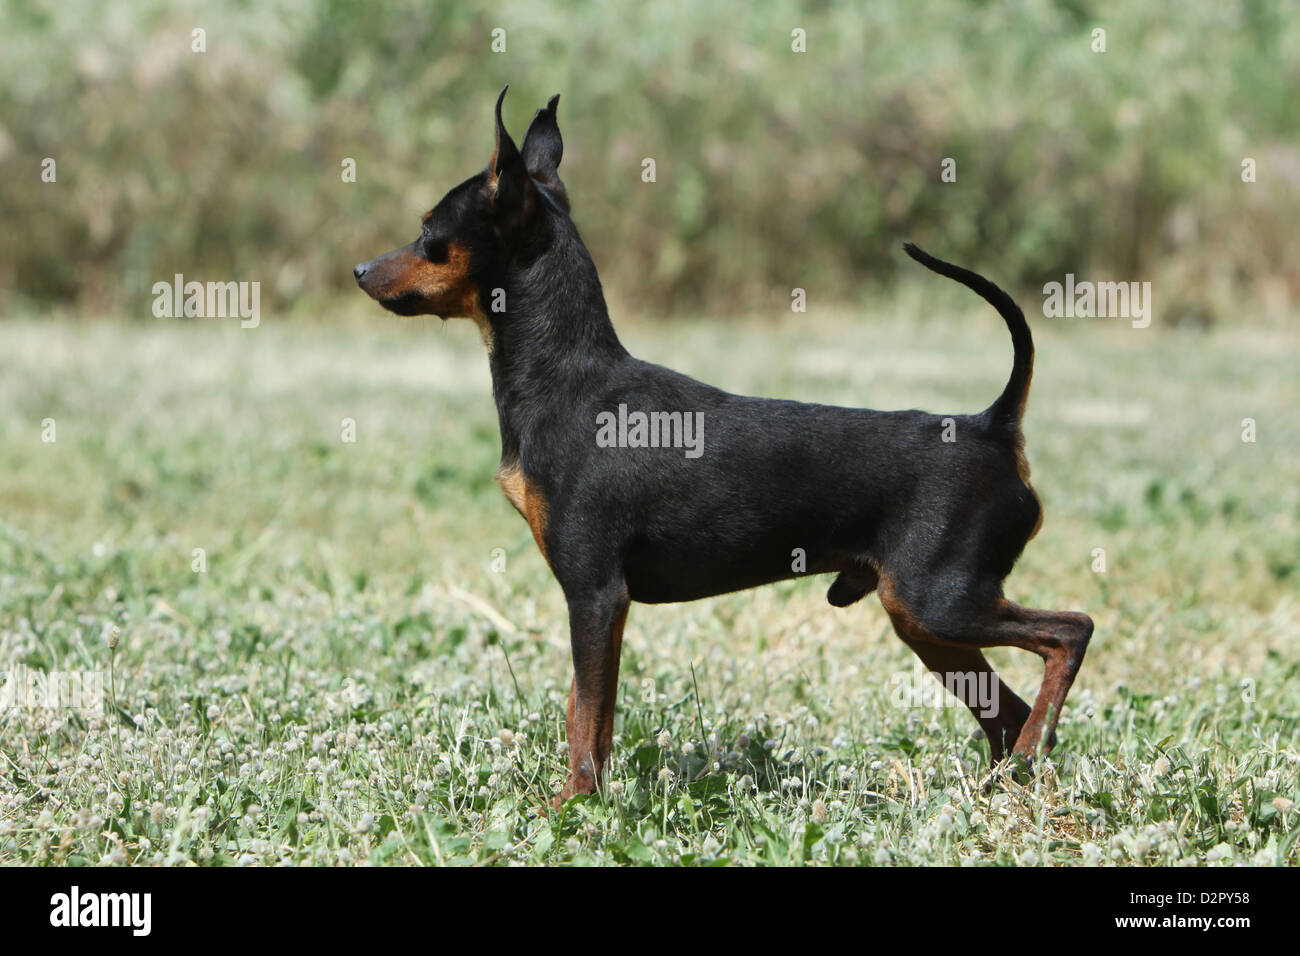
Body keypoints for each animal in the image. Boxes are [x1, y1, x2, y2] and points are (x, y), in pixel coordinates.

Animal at [353, 89, 1086, 806]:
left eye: (429, 231)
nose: (359, 269)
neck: (568, 379)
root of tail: (991, 425)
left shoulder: (595, 593)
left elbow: (587, 716)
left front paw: (576, 808)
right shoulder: (597, 604)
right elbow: (584, 713)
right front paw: (583, 799)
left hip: (940, 602)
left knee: (1070, 632)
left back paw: (1031, 755)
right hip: (923, 619)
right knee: (1008, 714)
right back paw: (1010, 782)